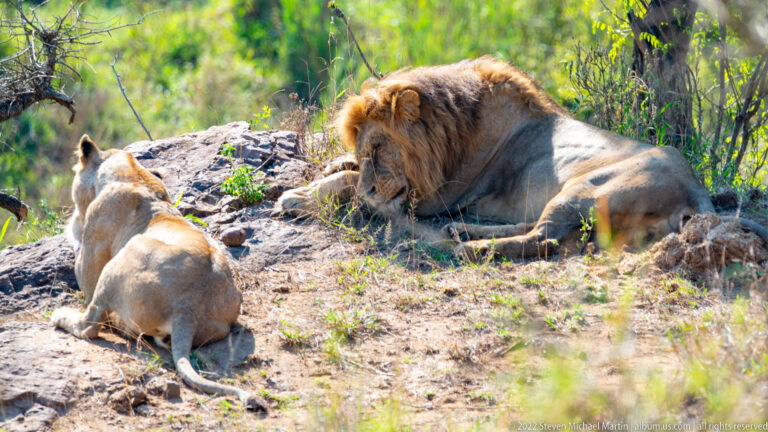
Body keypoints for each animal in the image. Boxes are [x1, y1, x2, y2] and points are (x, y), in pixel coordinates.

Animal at [52, 136, 267, 411]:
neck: (134, 174)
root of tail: (188, 308)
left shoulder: (93, 245)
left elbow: (86, 285)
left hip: (126, 255)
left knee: (90, 325)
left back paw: (62, 316)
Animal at [274, 57, 766, 259]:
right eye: (366, 148)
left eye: (379, 148)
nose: (371, 193)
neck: (453, 126)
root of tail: (698, 194)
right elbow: (344, 170)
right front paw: (331, 171)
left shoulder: (437, 195)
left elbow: (347, 185)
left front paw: (299, 196)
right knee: (537, 228)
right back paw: (465, 231)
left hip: (584, 188)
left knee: (542, 239)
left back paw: (469, 247)